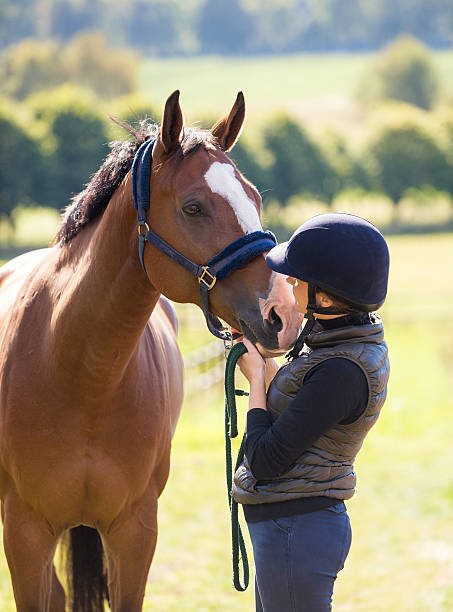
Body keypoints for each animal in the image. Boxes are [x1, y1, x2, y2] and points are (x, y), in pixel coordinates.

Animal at [0, 92, 302, 612]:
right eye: (194, 207)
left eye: (255, 198)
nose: (282, 311)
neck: (80, 375)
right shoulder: (25, 532)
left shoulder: (135, 531)